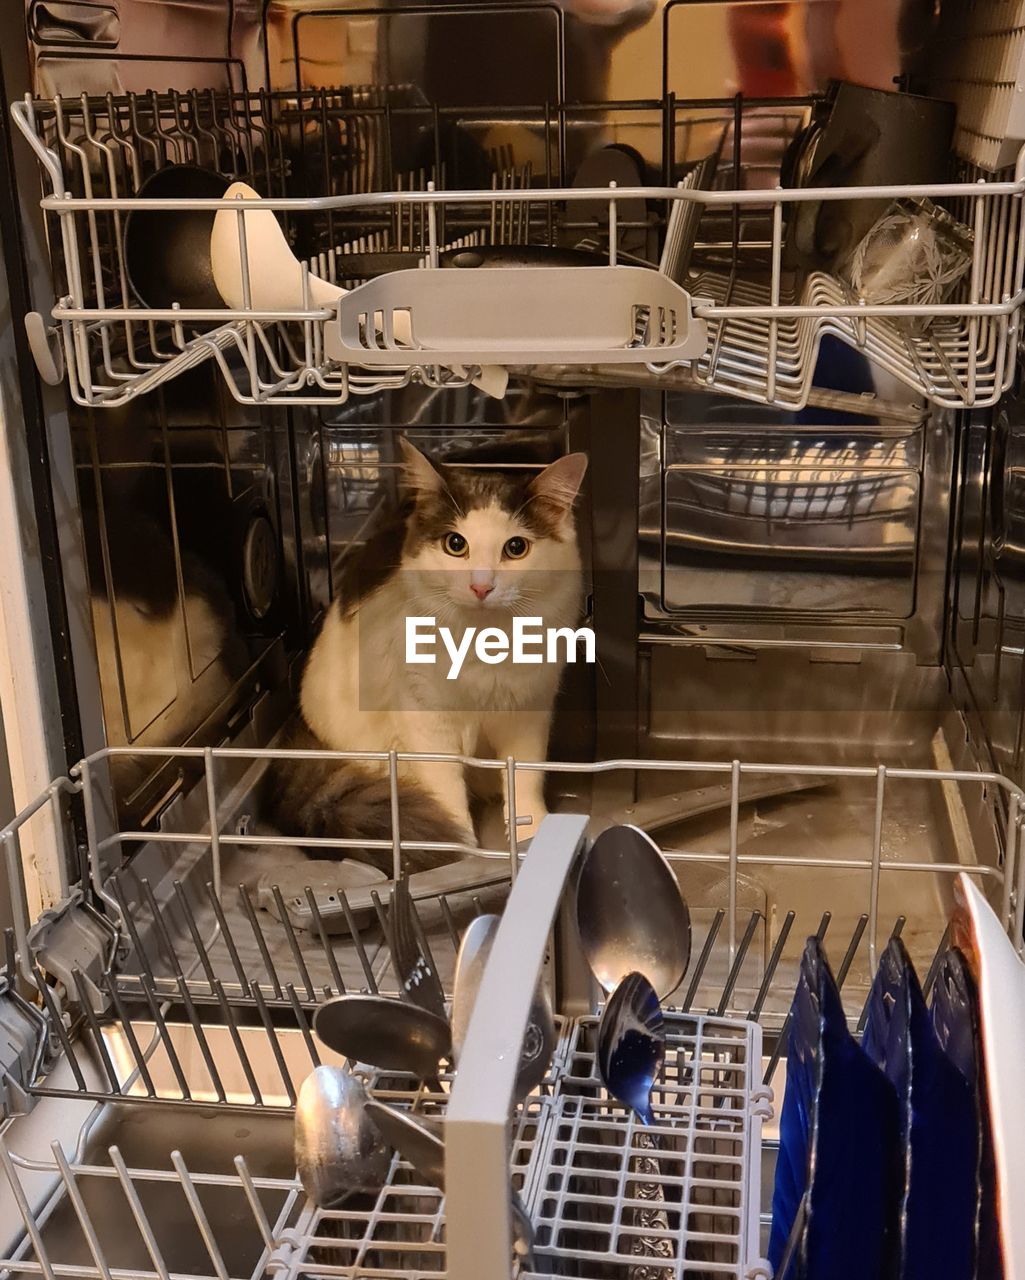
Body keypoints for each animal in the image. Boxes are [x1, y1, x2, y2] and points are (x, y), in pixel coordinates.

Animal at [263, 437, 583, 870]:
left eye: (515, 548)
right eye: (455, 545)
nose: (481, 586)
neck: (485, 643)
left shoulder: (528, 713)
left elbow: (525, 785)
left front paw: (531, 840)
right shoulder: (428, 720)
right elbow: (448, 799)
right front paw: (460, 851)